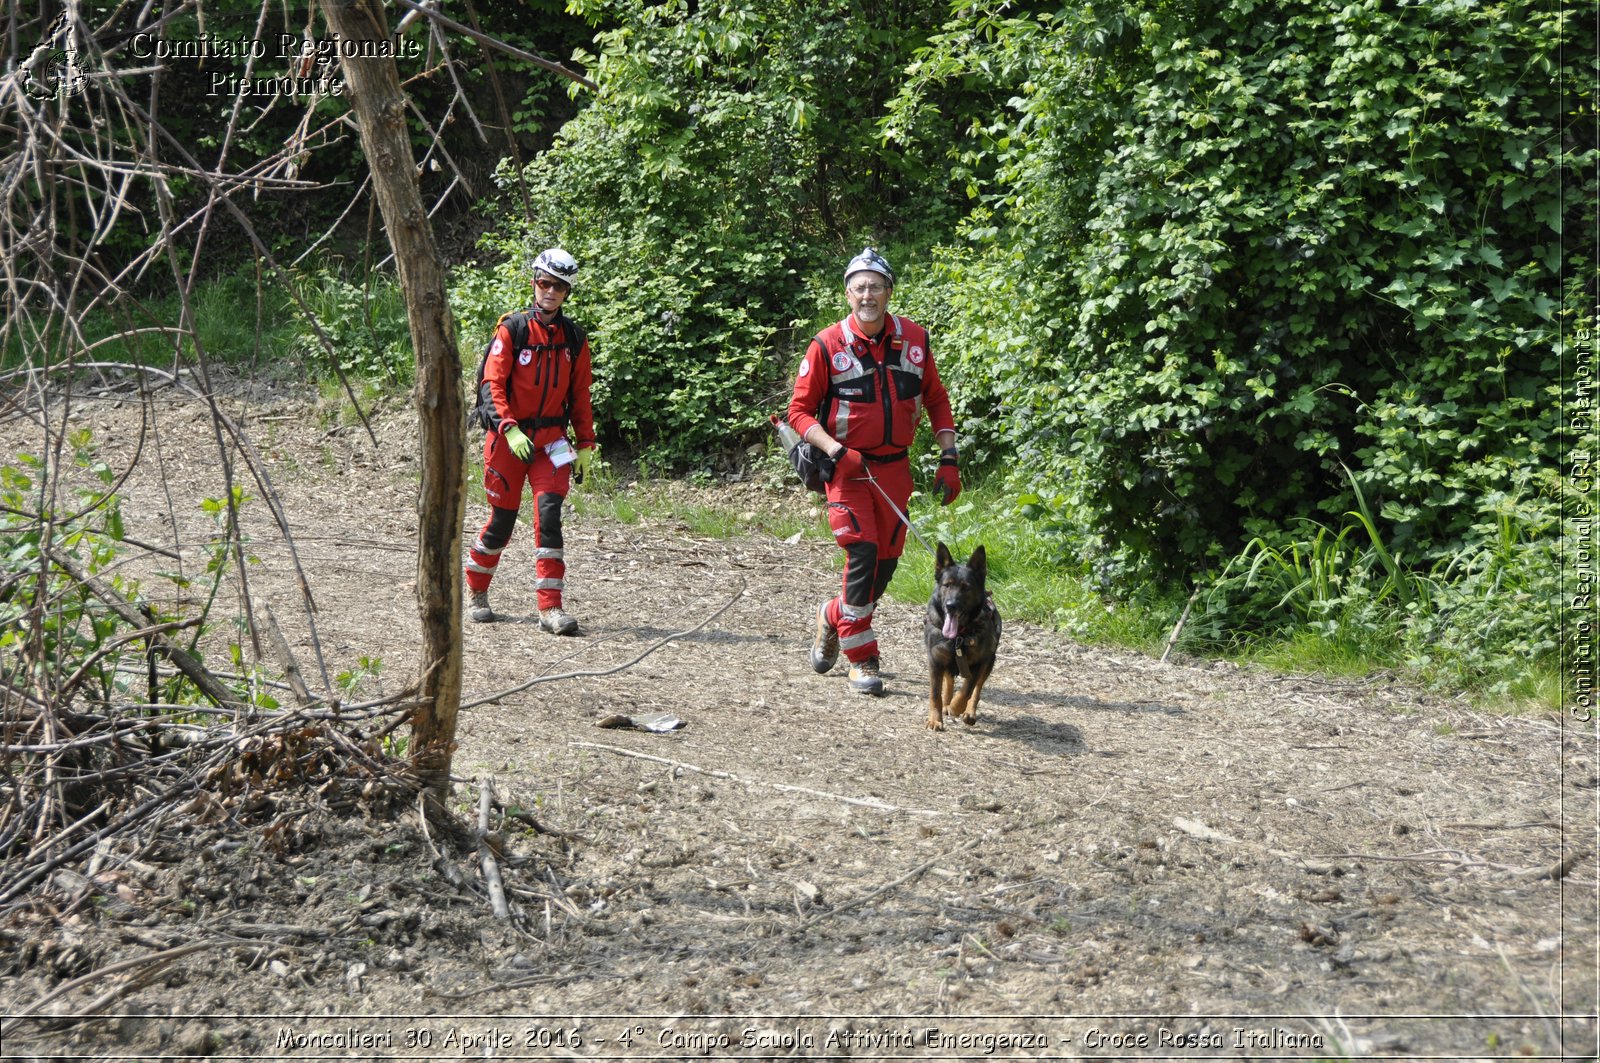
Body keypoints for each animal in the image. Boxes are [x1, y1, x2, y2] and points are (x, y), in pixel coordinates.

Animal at [928, 541, 998, 730]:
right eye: (947, 585)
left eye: (966, 587)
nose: (951, 605)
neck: (959, 636)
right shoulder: (936, 661)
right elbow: (935, 693)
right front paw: (935, 719)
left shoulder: (979, 663)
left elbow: (967, 690)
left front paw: (956, 707)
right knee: (949, 682)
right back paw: (946, 704)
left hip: (989, 663)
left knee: (977, 690)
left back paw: (968, 712)